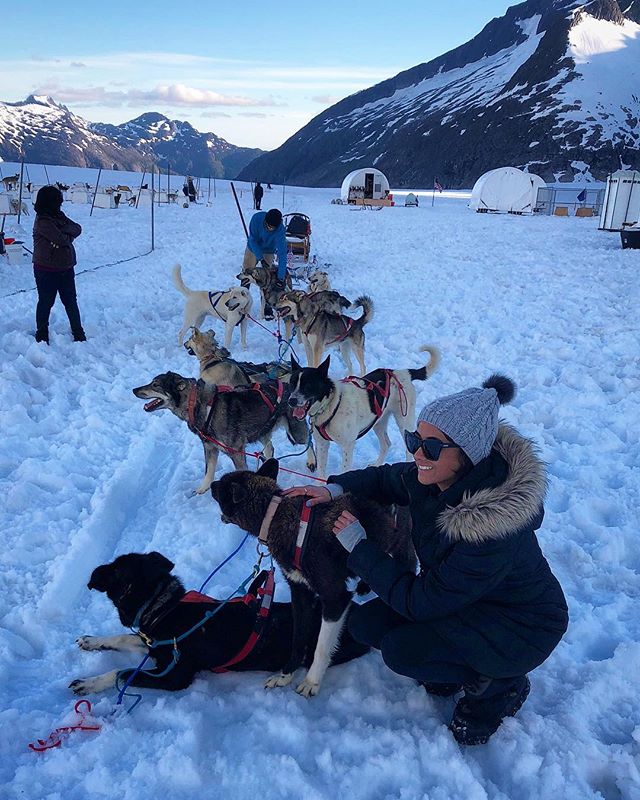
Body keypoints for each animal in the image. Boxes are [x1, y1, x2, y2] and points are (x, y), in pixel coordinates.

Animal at [69, 552, 370, 692]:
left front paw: (89, 683)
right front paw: (92, 641)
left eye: (115, 570)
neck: (163, 608)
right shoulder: (154, 644)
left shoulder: (175, 676)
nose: (94, 574)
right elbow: (123, 638)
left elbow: (121, 673)